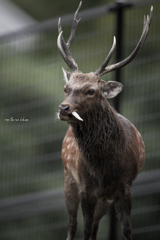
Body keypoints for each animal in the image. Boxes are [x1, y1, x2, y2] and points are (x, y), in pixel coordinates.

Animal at [56, 1, 152, 238]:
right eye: (66, 88)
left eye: (91, 90)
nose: (63, 108)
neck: (105, 169)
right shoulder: (86, 187)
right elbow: (85, 228)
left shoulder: (125, 187)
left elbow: (126, 229)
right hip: (68, 178)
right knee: (72, 225)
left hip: (104, 199)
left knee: (95, 226)